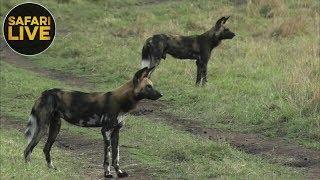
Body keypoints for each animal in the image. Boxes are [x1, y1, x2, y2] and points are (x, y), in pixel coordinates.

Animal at [23, 67, 161, 179]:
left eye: (152, 85)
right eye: (148, 86)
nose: (161, 94)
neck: (122, 101)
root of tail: (45, 92)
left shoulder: (116, 132)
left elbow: (116, 156)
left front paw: (120, 172)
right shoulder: (106, 131)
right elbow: (107, 156)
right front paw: (108, 174)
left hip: (55, 128)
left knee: (46, 149)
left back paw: (51, 168)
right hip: (43, 128)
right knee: (28, 149)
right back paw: (28, 169)